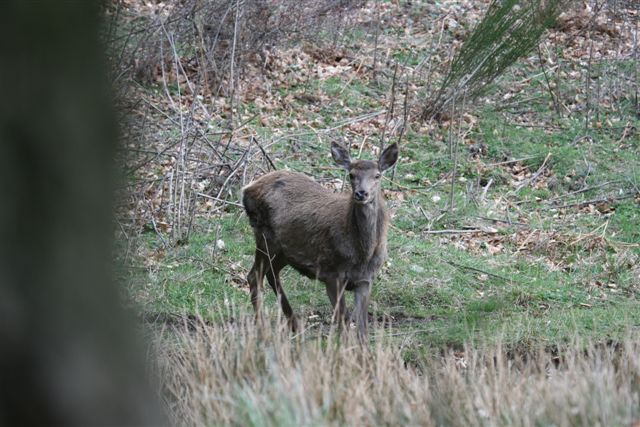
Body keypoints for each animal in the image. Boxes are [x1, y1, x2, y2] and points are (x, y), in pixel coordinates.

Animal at [242, 142, 398, 340]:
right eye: (351, 174)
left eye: (377, 175)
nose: (361, 193)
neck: (362, 254)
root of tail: (247, 189)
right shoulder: (331, 275)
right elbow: (344, 321)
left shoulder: (365, 280)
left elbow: (362, 328)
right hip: (264, 236)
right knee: (254, 276)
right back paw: (263, 328)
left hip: (284, 250)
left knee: (271, 273)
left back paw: (295, 326)